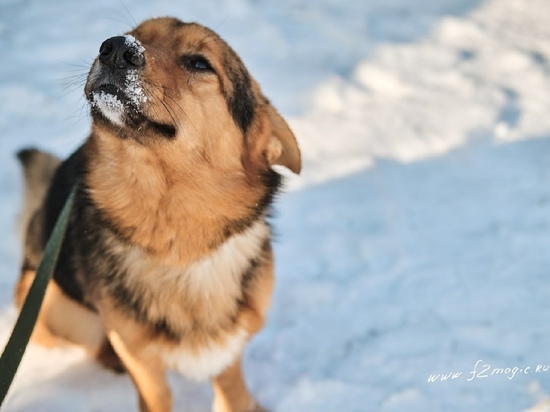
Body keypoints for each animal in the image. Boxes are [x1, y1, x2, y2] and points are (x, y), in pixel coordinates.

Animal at [15, 16, 302, 412]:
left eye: (199, 63)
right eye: (136, 35)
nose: (115, 48)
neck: (175, 237)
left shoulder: (233, 340)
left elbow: (231, 388)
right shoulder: (141, 357)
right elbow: (157, 393)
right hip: (59, 309)